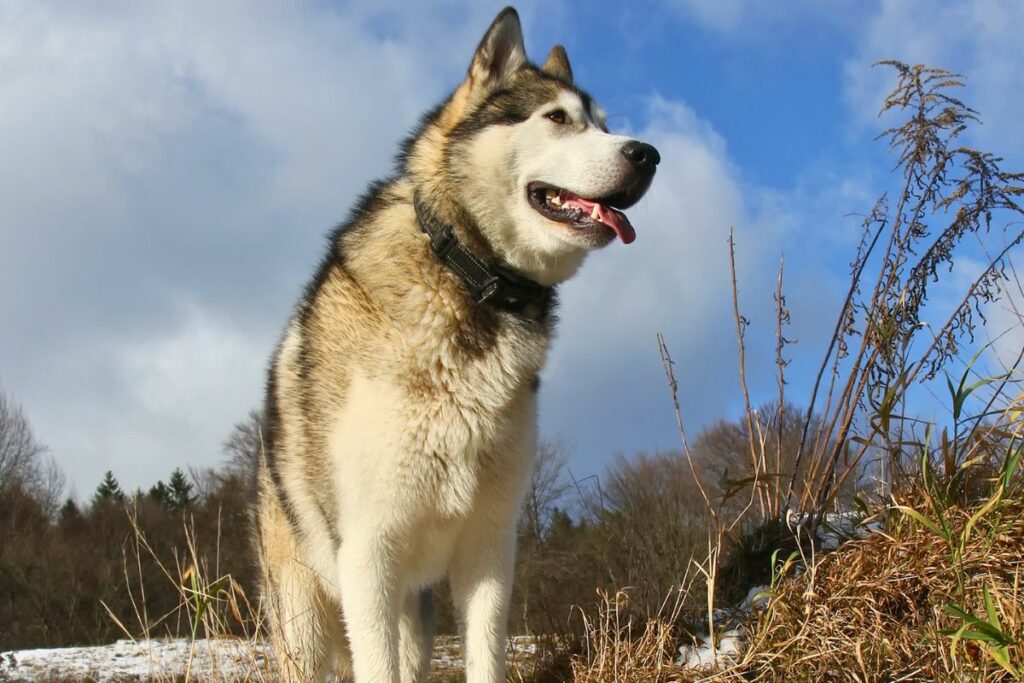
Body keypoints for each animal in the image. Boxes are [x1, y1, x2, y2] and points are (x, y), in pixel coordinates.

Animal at [254, 6, 655, 683]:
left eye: (604, 124)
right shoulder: (369, 555)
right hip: (306, 616)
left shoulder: (490, 547)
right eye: (557, 119)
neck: (469, 280)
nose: (648, 154)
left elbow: (486, 654)